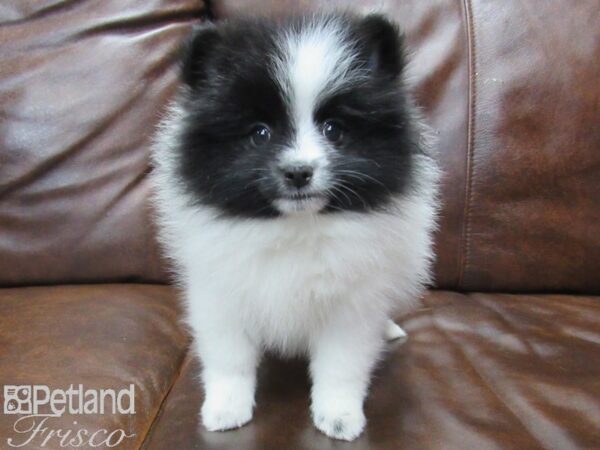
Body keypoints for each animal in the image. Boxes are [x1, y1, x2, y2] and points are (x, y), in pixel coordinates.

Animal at [152, 12, 438, 442]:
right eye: (260, 133)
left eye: (334, 129)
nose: (299, 171)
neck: (297, 226)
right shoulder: (221, 295)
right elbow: (229, 359)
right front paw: (225, 408)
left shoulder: (351, 305)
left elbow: (341, 365)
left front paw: (338, 416)